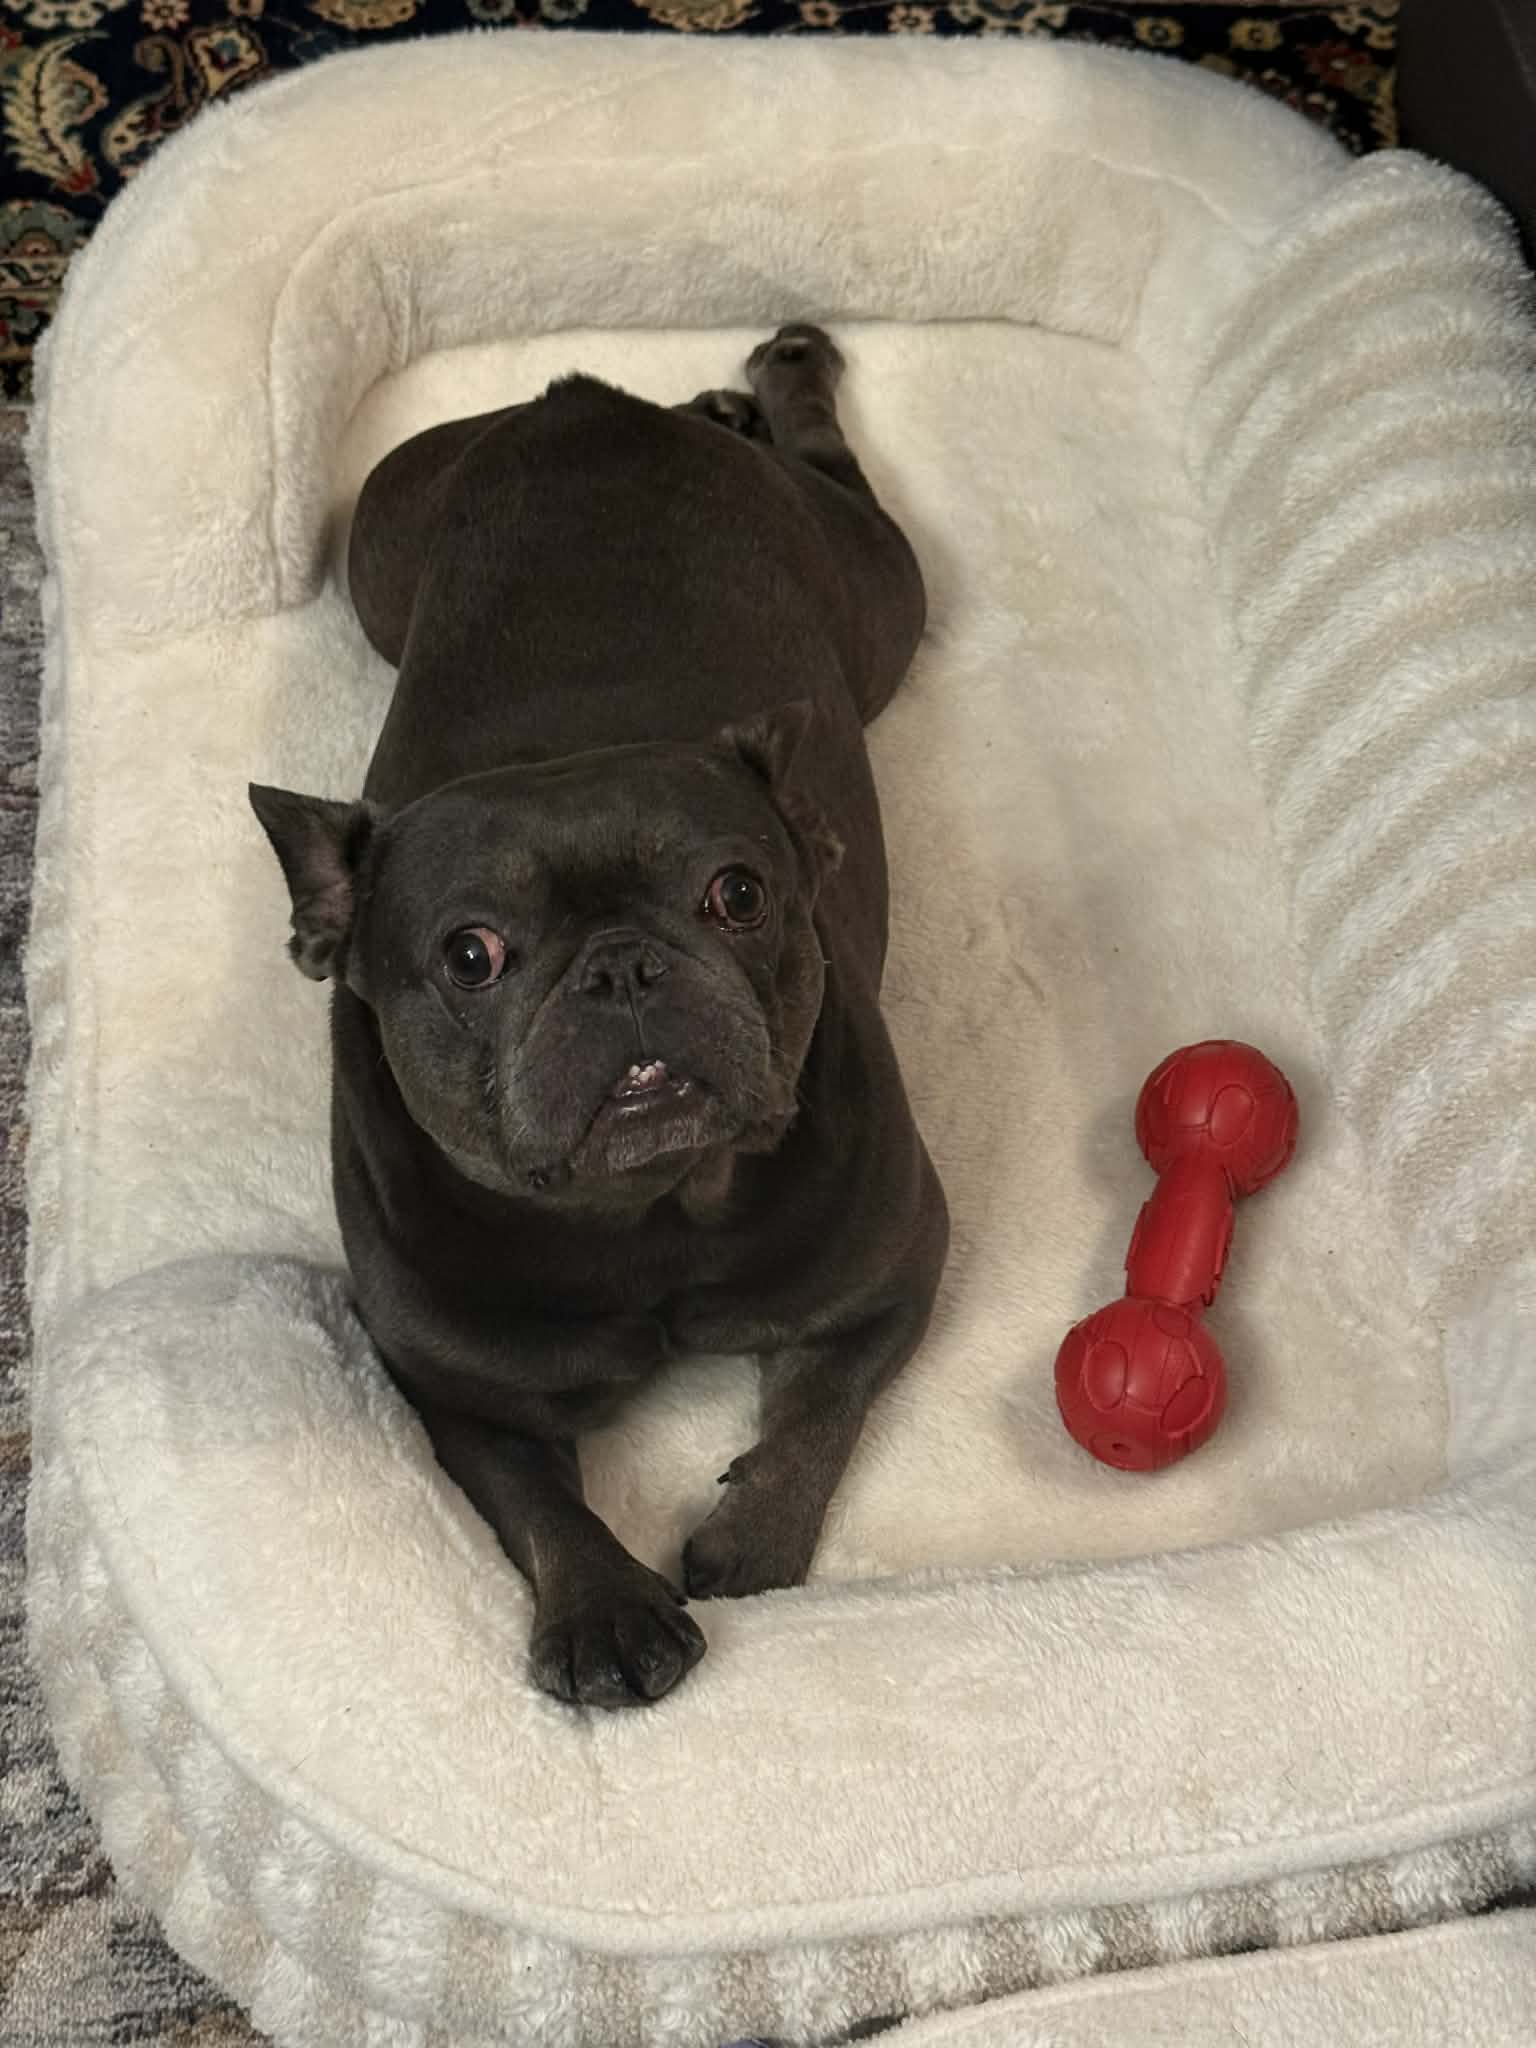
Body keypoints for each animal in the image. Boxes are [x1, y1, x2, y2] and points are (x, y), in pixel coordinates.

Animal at [250, 325, 948, 1708]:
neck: (647, 1213)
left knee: (836, 471)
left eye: (738, 892)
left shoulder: (895, 1270)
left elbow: (822, 1404)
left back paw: (771, 379)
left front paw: (753, 1532)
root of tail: (591, 407)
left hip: (878, 598)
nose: (622, 966)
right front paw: (606, 1610)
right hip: (379, 550)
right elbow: (536, 1502)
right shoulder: (459, 1391)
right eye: (469, 953)